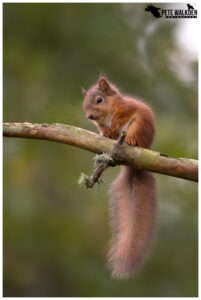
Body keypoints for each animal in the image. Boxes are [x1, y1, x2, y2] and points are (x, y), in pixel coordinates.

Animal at [81, 77, 157, 278]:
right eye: (84, 104)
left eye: (99, 100)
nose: (90, 116)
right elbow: (103, 128)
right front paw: (105, 132)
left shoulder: (126, 108)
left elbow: (120, 118)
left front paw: (113, 127)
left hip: (138, 126)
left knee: (134, 136)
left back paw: (130, 141)